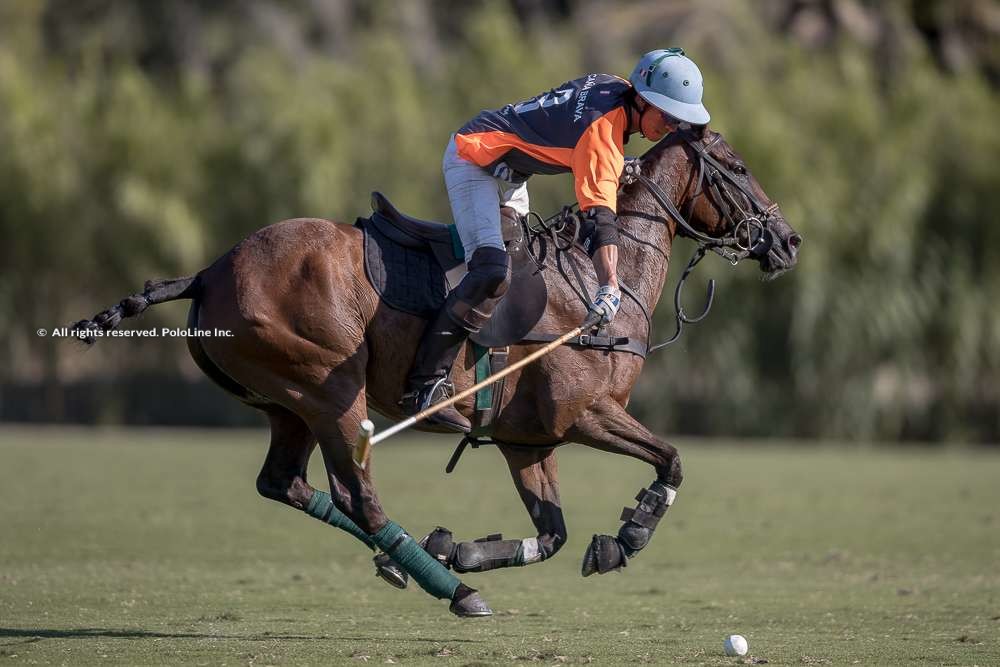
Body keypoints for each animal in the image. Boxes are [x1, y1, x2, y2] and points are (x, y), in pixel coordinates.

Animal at [70, 125, 800, 616]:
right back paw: (455, 590)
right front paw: (630, 533)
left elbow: (554, 534)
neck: (595, 279)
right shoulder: (585, 415)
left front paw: (466, 547)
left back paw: (419, 562)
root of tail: (209, 271)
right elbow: (671, 460)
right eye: (736, 166)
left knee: (285, 483)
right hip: (331, 388)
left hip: (287, 402)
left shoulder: (527, 441)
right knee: (356, 496)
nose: (788, 240)